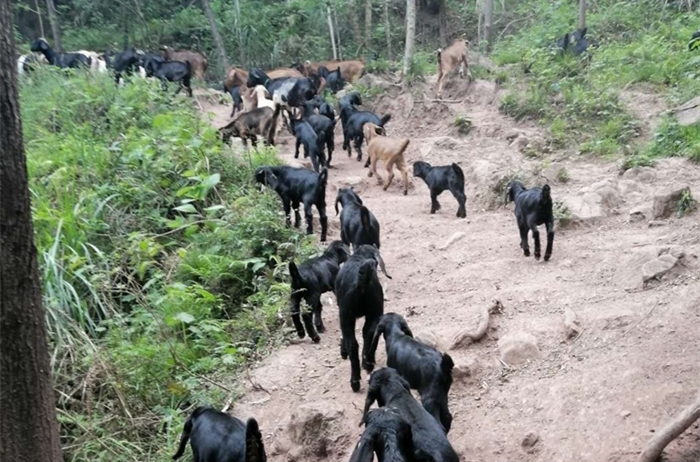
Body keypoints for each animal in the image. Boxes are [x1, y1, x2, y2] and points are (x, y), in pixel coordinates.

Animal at [334, 244, 392, 392]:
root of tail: (361, 285)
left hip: (346, 315)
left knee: (353, 344)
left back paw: (355, 381)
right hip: (375, 310)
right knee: (370, 332)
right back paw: (368, 362)